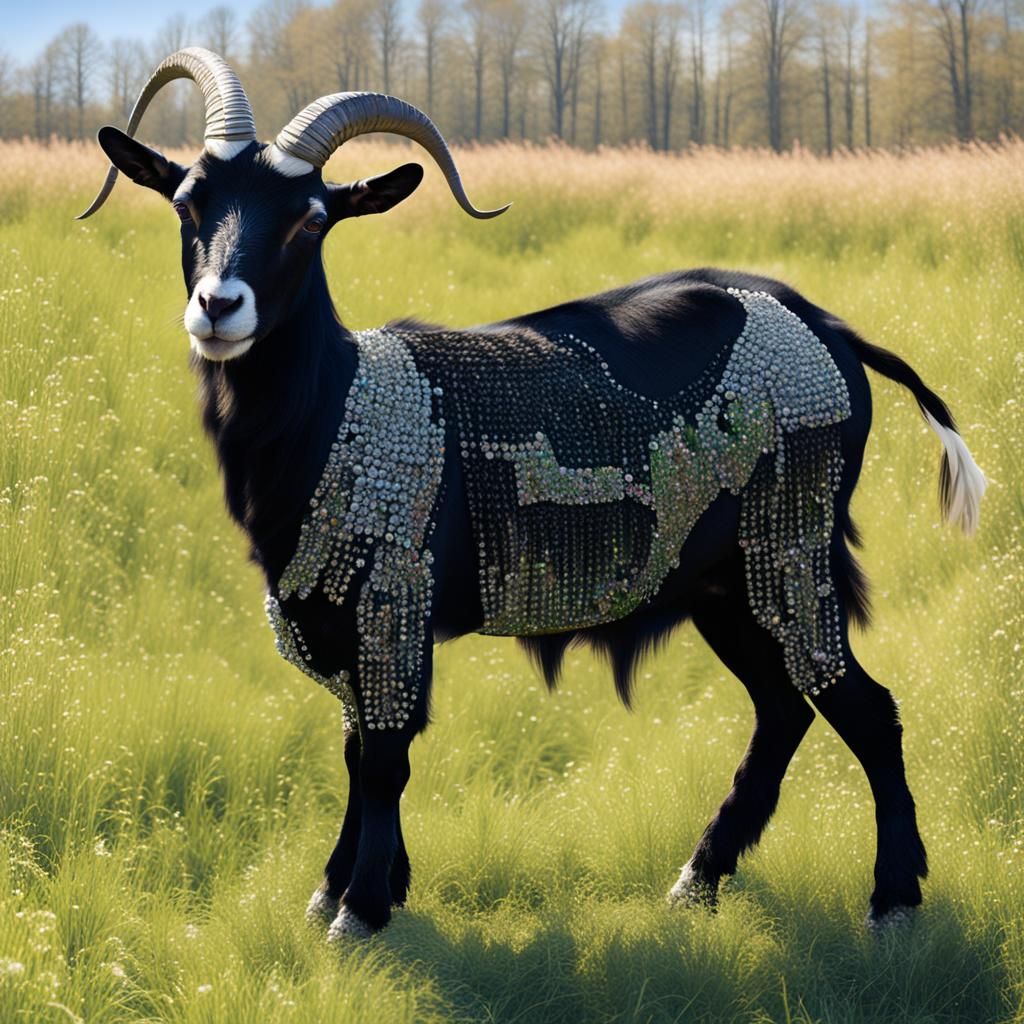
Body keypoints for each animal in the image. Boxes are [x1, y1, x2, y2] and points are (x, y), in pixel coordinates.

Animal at [81, 49, 986, 941]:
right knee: (784, 710)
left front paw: (360, 911)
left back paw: (893, 899)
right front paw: (342, 891)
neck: (338, 404)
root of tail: (835, 332)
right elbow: (354, 746)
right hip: (723, 583)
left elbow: (383, 756)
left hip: (792, 543)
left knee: (864, 706)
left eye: (311, 219)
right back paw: (698, 881)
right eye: (188, 202)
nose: (218, 307)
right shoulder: (339, 614)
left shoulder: (394, 600)